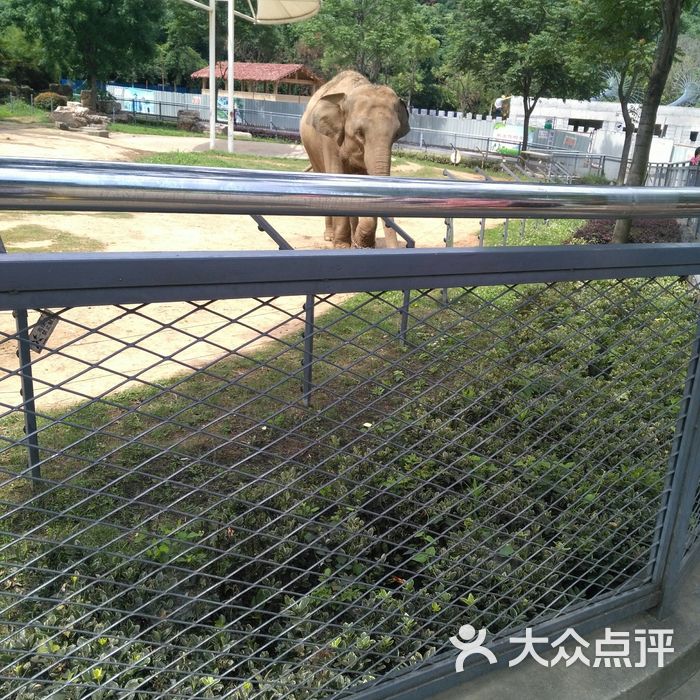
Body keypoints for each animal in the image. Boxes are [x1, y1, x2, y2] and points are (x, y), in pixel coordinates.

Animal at [300, 69, 410, 249]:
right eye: (359, 133)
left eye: (395, 135)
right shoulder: (330, 141)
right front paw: (342, 246)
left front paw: (363, 244)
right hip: (311, 148)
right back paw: (330, 236)